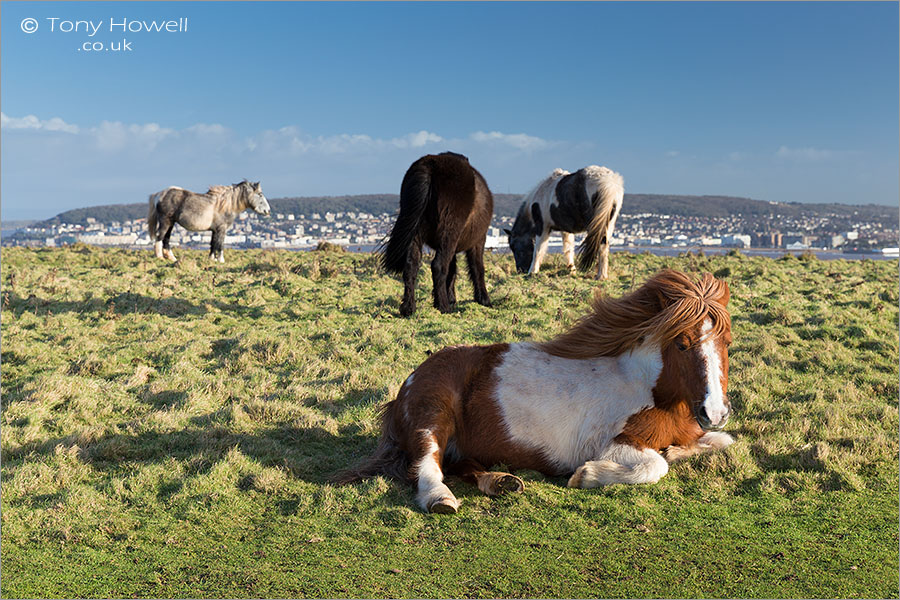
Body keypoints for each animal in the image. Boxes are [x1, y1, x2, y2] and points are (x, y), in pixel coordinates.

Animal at [334, 270, 736, 512]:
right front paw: (587, 476)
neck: (646, 386)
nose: (715, 412)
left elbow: (719, 442)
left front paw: (682, 448)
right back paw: (442, 498)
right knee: (427, 465)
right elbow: (655, 465)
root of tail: (409, 382)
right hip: (434, 414)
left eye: (727, 342)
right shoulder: (618, 443)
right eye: (682, 344)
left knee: (458, 464)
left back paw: (501, 482)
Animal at [380, 152, 492, 316]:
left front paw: (450, 298)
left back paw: (409, 308)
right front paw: (483, 299)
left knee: (411, 266)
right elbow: (477, 268)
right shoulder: (477, 241)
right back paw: (443, 307)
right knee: (438, 266)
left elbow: (452, 270)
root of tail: (431, 166)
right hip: (449, 234)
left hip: (417, 235)